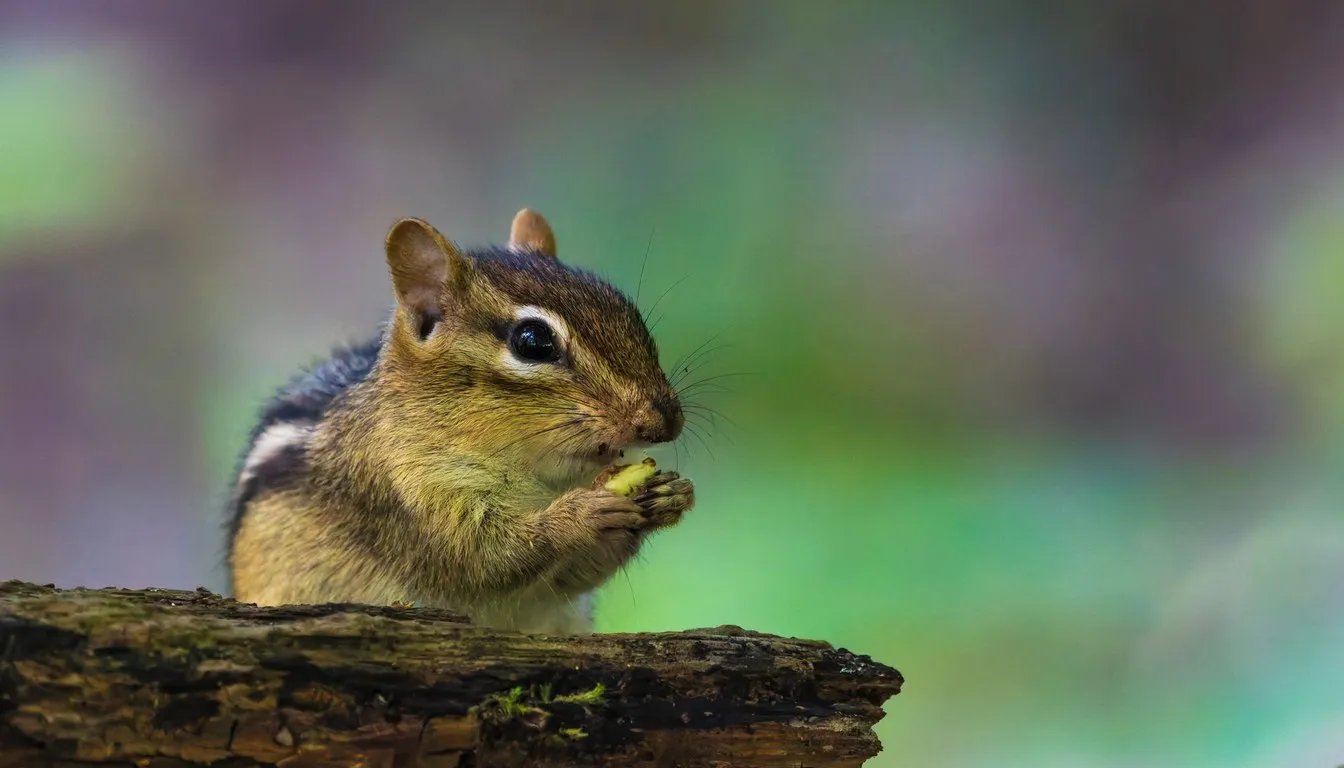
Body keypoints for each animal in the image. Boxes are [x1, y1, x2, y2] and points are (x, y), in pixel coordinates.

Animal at [225, 209, 694, 633]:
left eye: (628, 312)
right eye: (533, 341)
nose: (665, 421)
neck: (534, 476)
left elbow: (572, 575)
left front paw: (671, 494)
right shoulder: (401, 495)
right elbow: (481, 558)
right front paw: (580, 513)